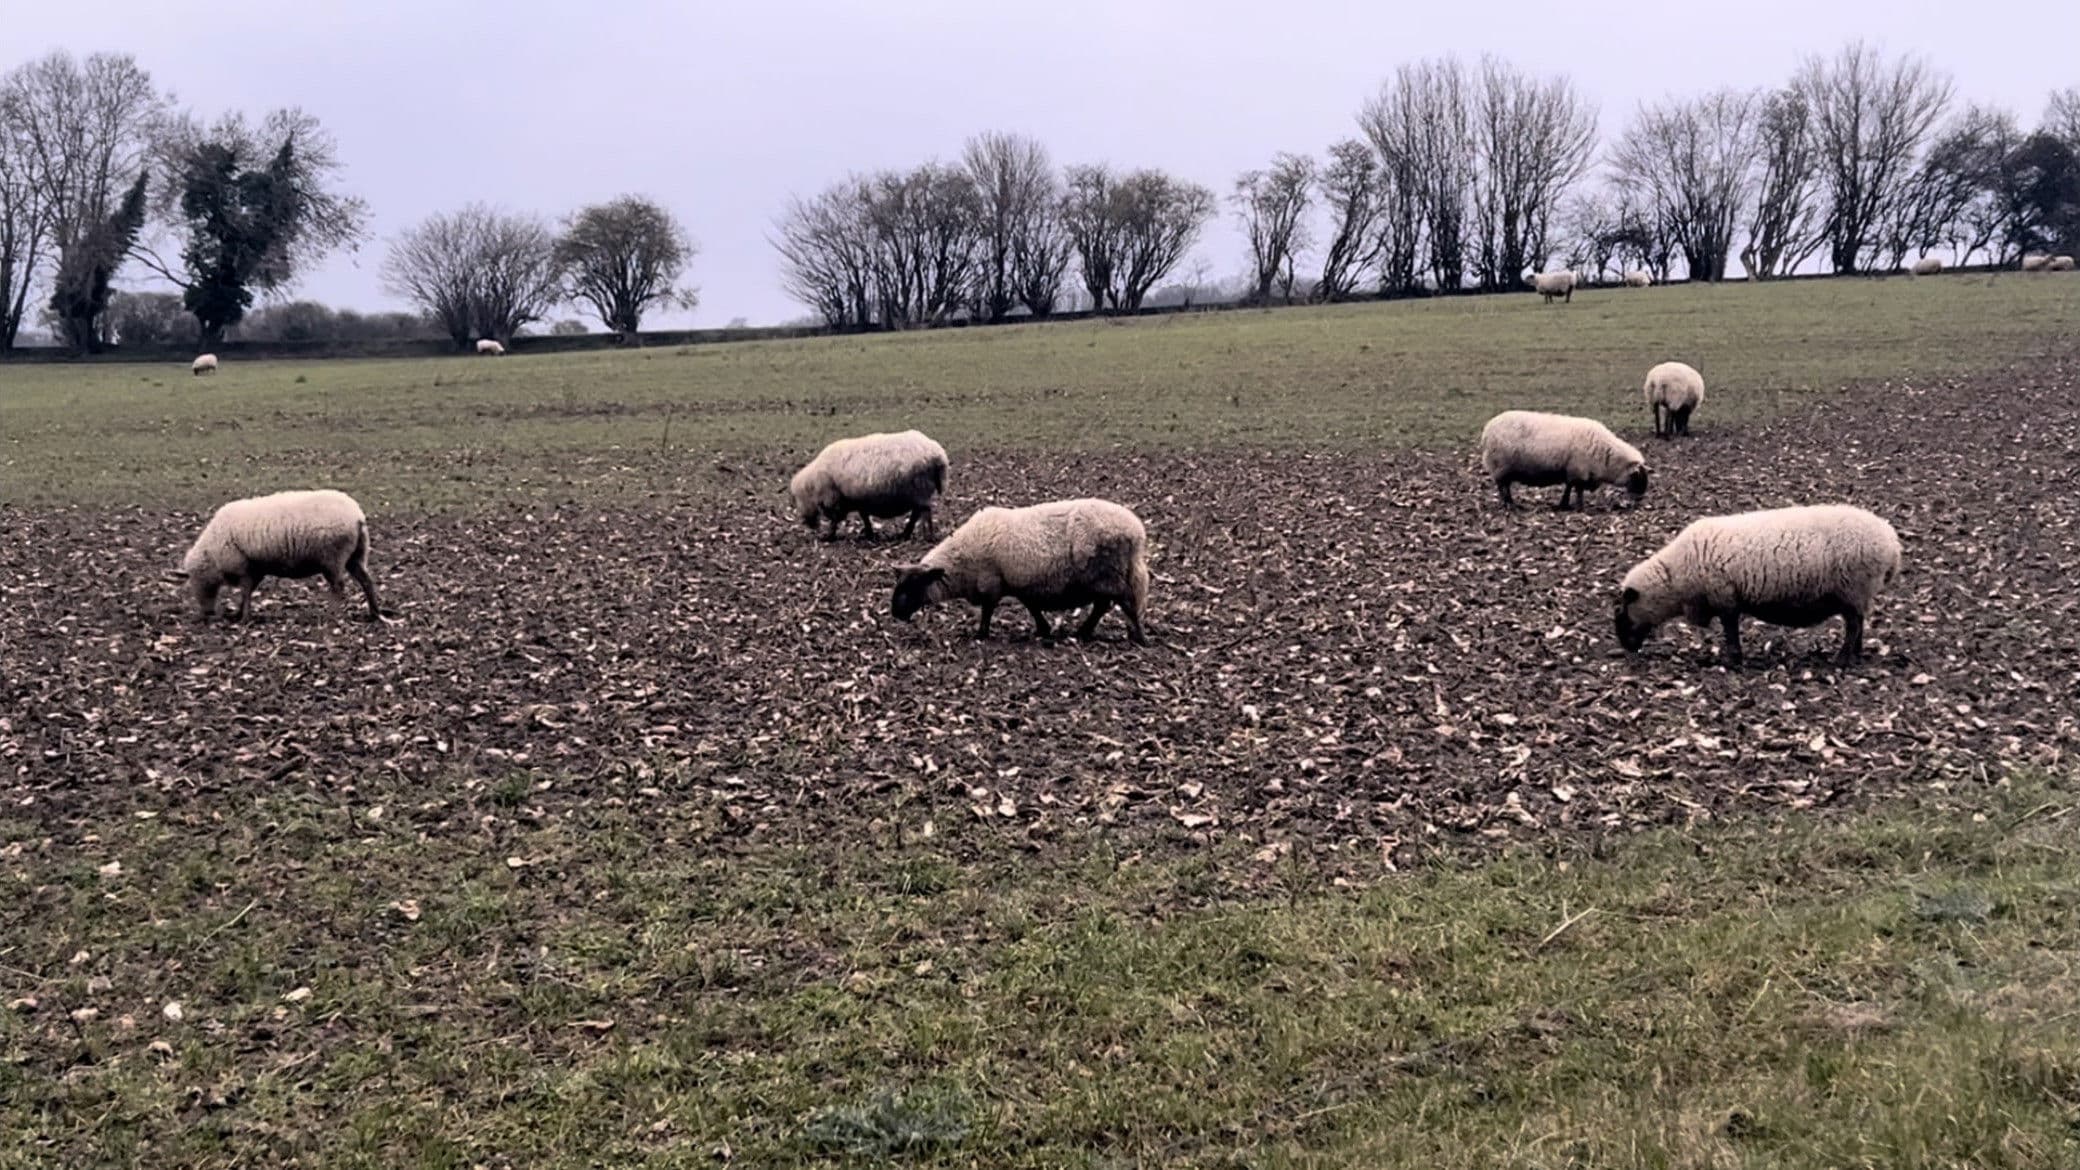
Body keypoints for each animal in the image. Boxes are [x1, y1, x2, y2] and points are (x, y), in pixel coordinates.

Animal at [176, 489, 380, 622]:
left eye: (194, 581)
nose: (207, 613)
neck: (212, 552)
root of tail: (357, 516)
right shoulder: (256, 569)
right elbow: (248, 592)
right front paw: (239, 614)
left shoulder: (243, 567)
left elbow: (245, 591)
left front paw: (244, 618)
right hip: (356, 555)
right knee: (366, 581)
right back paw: (374, 613)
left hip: (332, 558)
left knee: (338, 587)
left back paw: (332, 615)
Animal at [789, 430, 948, 542]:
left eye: (798, 498)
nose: (808, 524)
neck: (814, 484)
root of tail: (939, 455)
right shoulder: (857, 501)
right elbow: (864, 517)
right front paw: (869, 534)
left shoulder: (835, 500)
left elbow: (835, 520)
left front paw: (828, 537)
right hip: (919, 493)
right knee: (917, 514)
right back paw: (905, 534)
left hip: (920, 489)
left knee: (925, 513)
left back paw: (927, 537)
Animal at [891, 498, 1149, 645]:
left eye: (912, 586)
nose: (894, 614)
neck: (960, 563)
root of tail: (1136, 532)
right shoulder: (1020, 583)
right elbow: (1032, 607)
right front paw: (1044, 630)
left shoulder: (992, 583)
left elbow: (988, 611)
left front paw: (981, 635)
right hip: (1107, 577)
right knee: (1103, 605)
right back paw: (1086, 632)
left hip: (1107, 574)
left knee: (1122, 603)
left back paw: (1138, 637)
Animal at [1478, 410, 1648, 511]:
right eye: (1638, 476)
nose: (1641, 497)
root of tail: (1487, 430)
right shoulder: (1578, 470)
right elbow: (1577, 489)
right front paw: (1579, 507)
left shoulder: (1572, 471)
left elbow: (1569, 487)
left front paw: (1564, 504)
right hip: (1500, 465)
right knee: (1502, 486)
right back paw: (1508, 504)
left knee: (1504, 485)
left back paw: (1511, 503)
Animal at [1613, 504, 1900, 666]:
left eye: (1623, 612)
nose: (1626, 648)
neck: (1676, 579)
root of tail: (1892, 543)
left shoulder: (1725, 597)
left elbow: (1730, 630)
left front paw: (1732, 660)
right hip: (1857, 594)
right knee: (1859, 623)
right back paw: (1855, 655)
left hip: (1853, 589)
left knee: (1853, 626)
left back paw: (1841, 660)